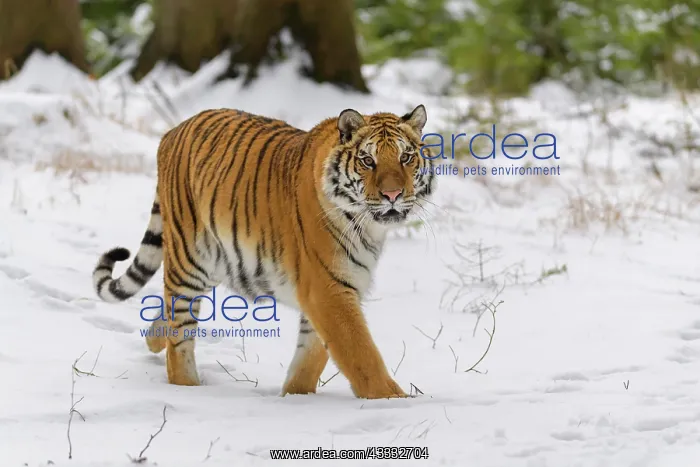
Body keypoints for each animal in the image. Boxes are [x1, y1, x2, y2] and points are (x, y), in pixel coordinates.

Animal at [92, 104, 436, 399]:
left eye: (406, 157)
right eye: (368, 161)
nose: (393, 194)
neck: (368, 227)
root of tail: (173, 131)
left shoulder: (336, 288)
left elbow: (311, 358)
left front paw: (295, 398)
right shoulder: (328, 289)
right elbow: (361, 354)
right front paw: (394, 401)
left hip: (217, 260)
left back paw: (154, 339)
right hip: (188, 260)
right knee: (180, 339)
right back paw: (188, 390)